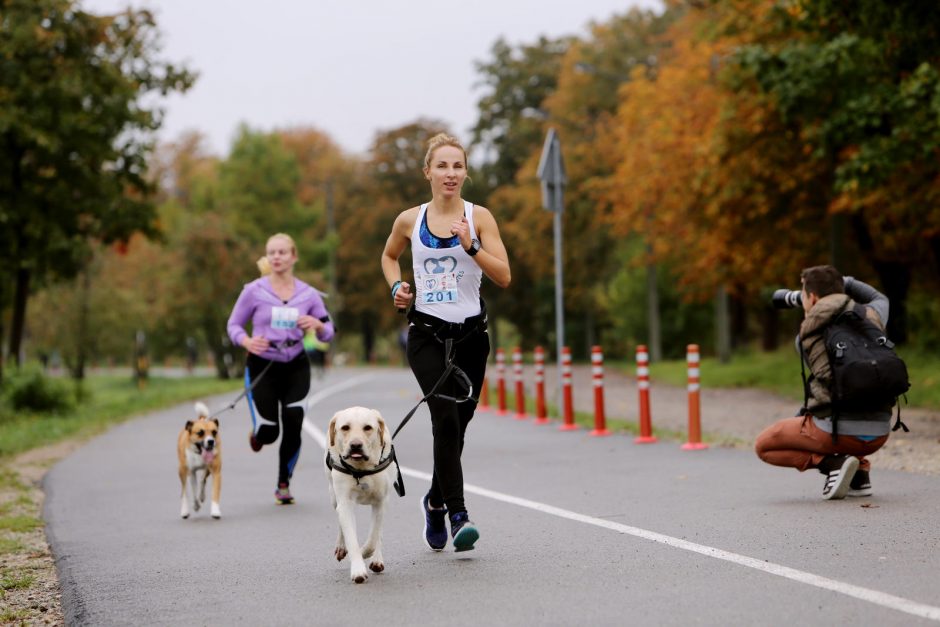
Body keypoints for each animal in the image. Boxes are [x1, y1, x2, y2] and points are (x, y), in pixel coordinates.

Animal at [324, 408, 394, 584]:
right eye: (345, 427)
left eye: (367, 427)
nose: (355, 445)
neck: (361, 468)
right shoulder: (345, 502)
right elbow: (351, 537)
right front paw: (357, 569)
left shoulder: (380, 502)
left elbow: (373, 538)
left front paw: (365, 554)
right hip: (333, 496)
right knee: (340, 522)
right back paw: (341, 547)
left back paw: (377, 559)